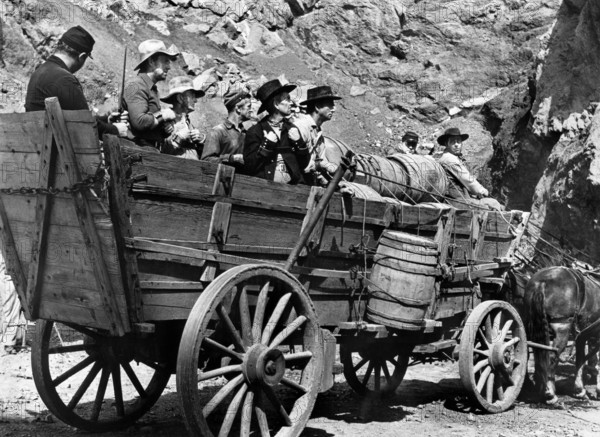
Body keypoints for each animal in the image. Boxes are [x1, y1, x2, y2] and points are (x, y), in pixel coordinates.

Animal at [524, 264, 600, 404]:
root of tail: (542, 281)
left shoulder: (583, 334)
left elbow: (582, 356)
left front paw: (580, 389)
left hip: (529, 324)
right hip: (562, 329)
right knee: (552, 356)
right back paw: (550, 394)